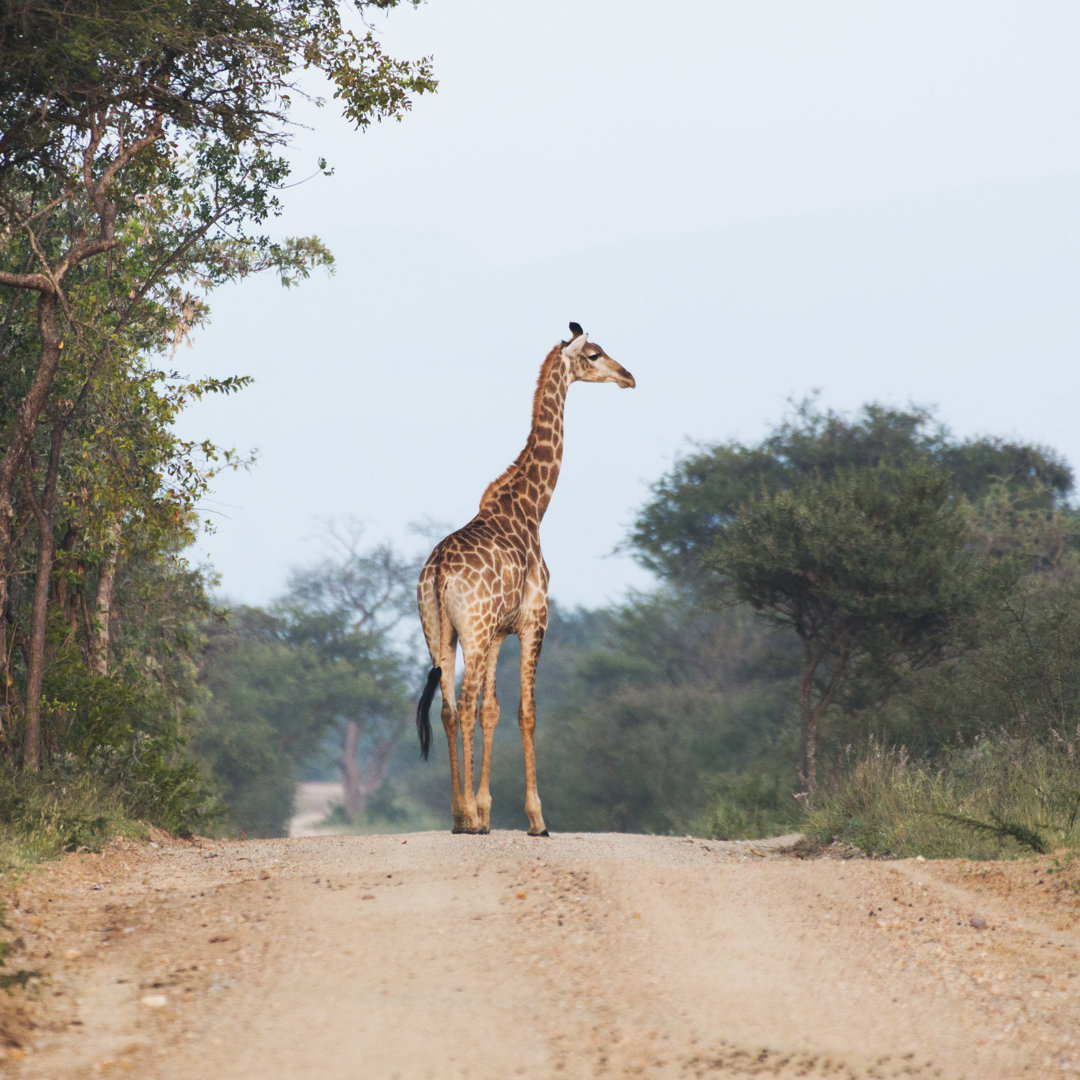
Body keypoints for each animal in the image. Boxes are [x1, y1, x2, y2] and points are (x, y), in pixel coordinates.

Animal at [412, 319, 630, 833]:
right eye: (594, 354)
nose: (628, 377)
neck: (532, 509)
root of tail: (439, 572)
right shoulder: (534, 620)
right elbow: (525, 712)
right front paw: (535, 818)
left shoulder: (496, 632)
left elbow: (491, 711)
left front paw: (488, 809)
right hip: (469, 629)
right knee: (463, 700)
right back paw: (469, 817)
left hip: (439, 629)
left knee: (449, 706)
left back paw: (461, 817)